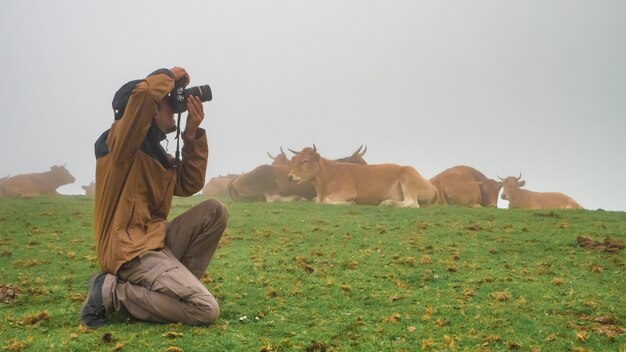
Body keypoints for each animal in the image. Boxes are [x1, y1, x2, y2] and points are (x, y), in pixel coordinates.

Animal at [286, 145, 436, 208]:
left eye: (305, 160)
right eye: (295, 160)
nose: (290, 176)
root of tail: (432, 186)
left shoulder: (348, 191)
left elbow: (328, 200)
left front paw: (350, 202)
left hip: (407, 176)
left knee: (412, 203)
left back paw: (387, 202)